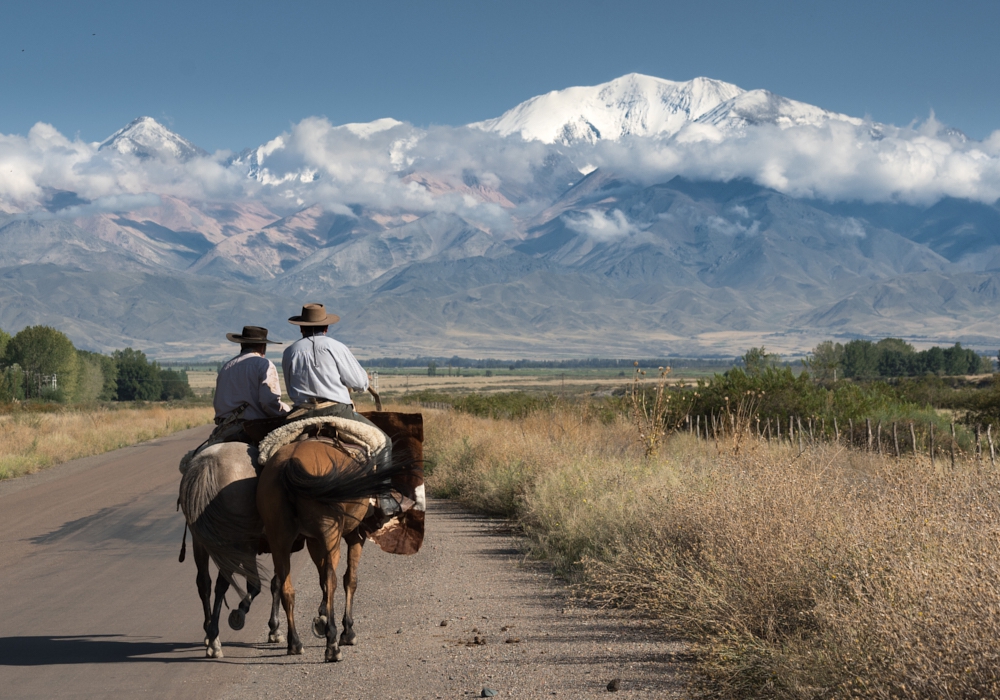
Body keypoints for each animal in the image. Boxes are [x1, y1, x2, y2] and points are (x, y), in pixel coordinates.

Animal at [177, 442, 282, 656]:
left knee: (204, 583)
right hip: (233, 544)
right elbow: (274, 583)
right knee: (224, 583)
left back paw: (210, 633)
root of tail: (207, 465)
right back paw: (215, 638)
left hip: (202, 541)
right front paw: (274, 628)